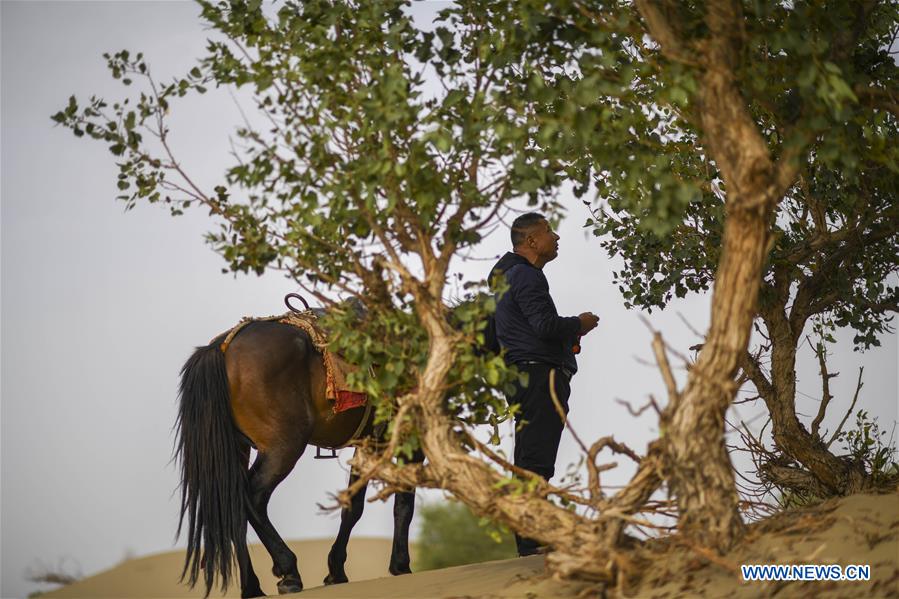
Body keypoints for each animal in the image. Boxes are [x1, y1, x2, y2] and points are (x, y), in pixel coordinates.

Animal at [176, 302, 422, 596]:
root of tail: (221, 347)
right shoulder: (413, 436)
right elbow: (404, 502)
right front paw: (401, 564)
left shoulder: (369, 444)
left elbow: (353, 507)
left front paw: (336, 570)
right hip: (283, 447)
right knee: (253, 496)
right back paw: (288, 571)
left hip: (238, 448)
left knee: (232, 504)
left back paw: (252, 587)